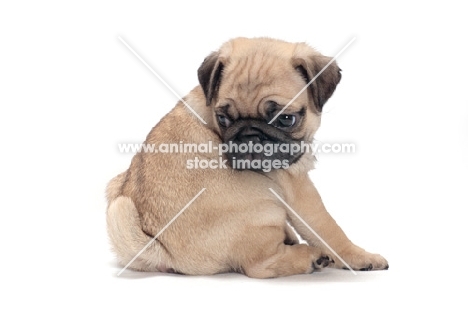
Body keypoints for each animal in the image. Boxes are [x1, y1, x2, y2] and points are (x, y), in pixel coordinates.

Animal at [107, 37, 388, 280]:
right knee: (259, 266)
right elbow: (328, 229)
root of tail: (161, 251)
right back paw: (310, 257)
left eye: (286, 119)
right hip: (265, 206)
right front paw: (360, 257)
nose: (250, 136)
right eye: (223, 119)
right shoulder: (295, 187)